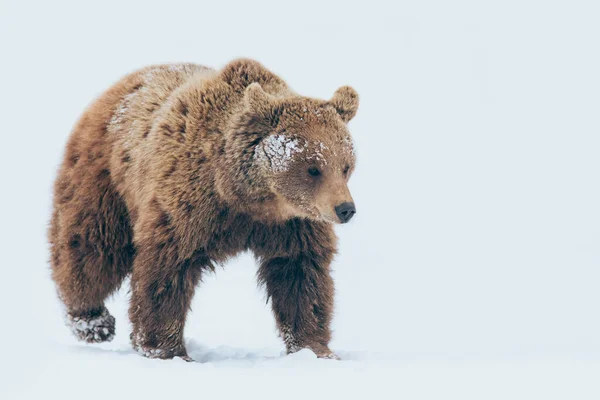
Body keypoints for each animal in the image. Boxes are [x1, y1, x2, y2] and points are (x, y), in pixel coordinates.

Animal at [49, 59, 358, 362]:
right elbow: (166, 269)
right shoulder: (188, 204)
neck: (248, 199)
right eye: (313, 168)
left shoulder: (293, 224)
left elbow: (301, 274)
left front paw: (315, 348)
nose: (345, 209)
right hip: (107, 178)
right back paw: (92, 321)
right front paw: (165, 348)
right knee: (92, 248)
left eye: (345, 166)